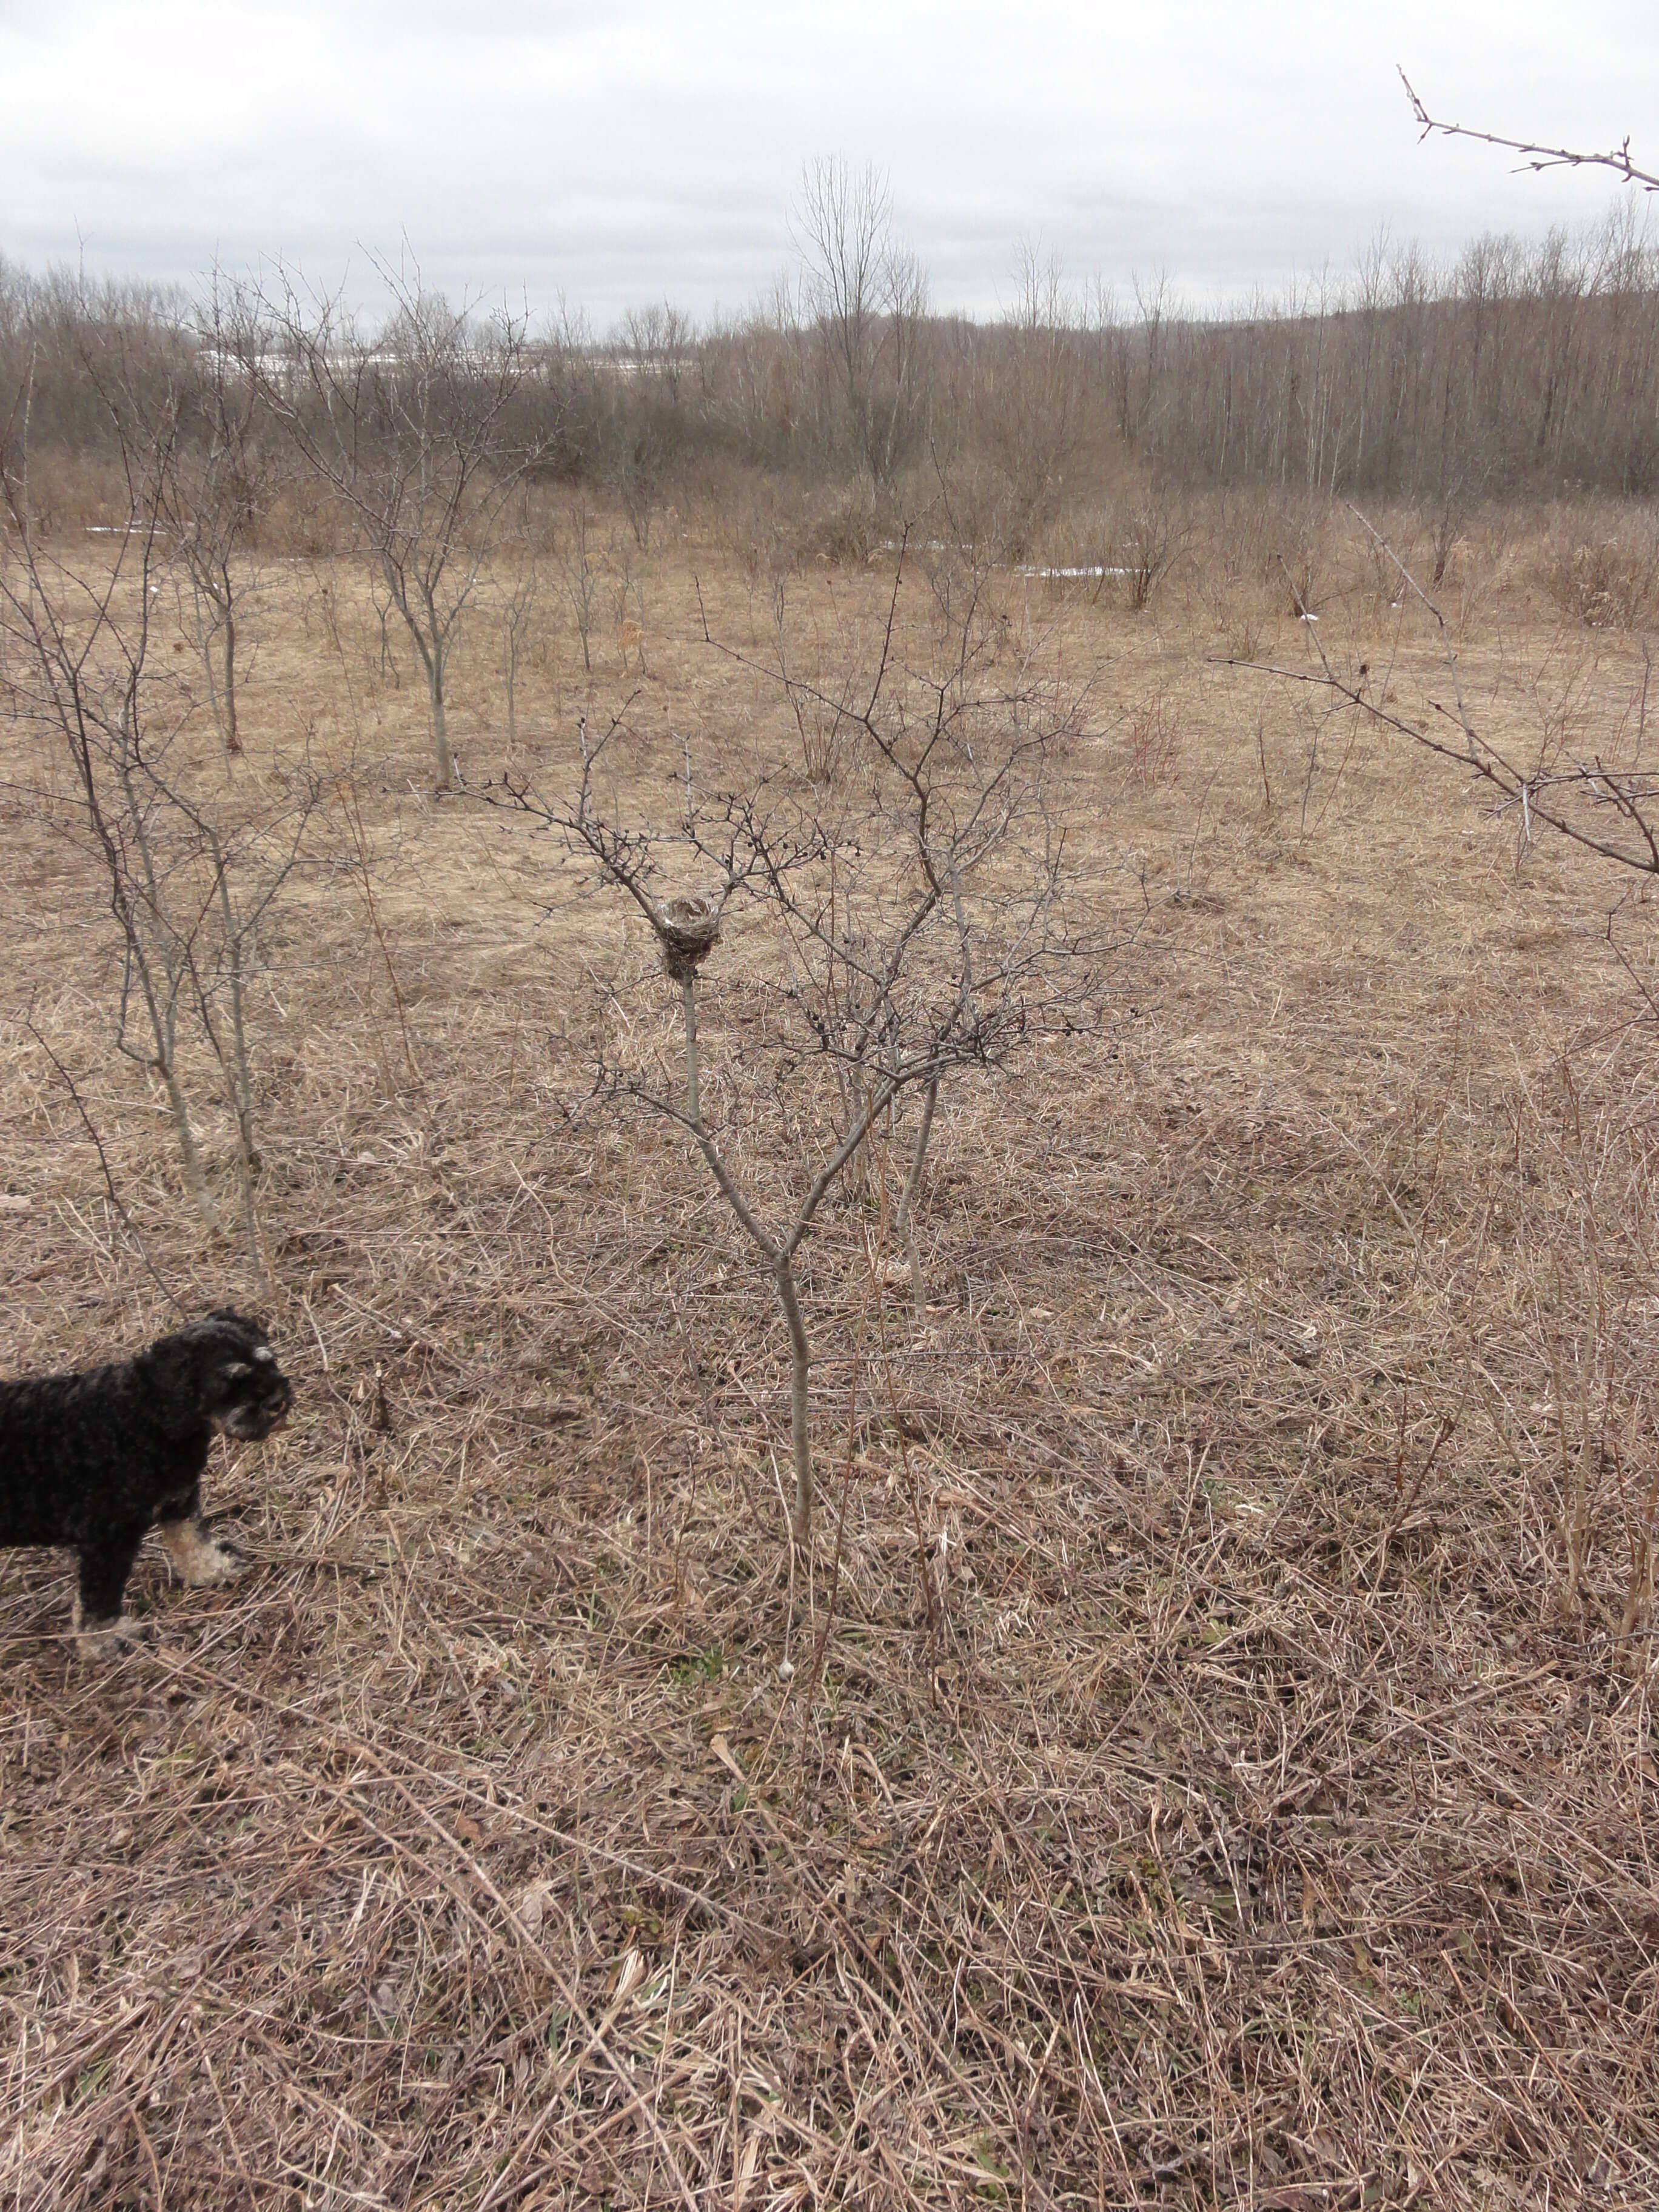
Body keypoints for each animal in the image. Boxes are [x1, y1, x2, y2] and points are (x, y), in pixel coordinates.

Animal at [0, 1301, 292, 1654]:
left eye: (269, 1360)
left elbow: (191, 1539)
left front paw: (214, 1568)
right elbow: (100, 1597)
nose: (278, 1401)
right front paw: (105, 1640)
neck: (146, 1416)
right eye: (230, 1382)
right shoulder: (106, 1538)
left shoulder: (178, 1498)